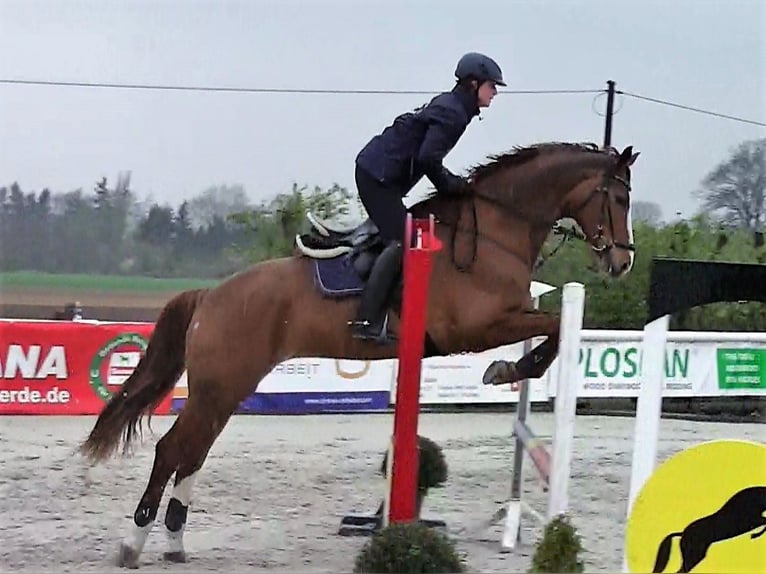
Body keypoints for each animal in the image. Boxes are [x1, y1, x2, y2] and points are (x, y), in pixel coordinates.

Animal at [79, 141, 640, 572]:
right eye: (616, 196)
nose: (622, 261)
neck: (492, 235)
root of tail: (209, 295)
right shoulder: (478, 326)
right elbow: (555, 327)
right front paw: (510, 368)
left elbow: (557, 326)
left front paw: (513, 368)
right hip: (219, 387)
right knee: (172, 450)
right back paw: (134, 543)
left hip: (225, 391)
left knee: (192, 453)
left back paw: (174, 542)